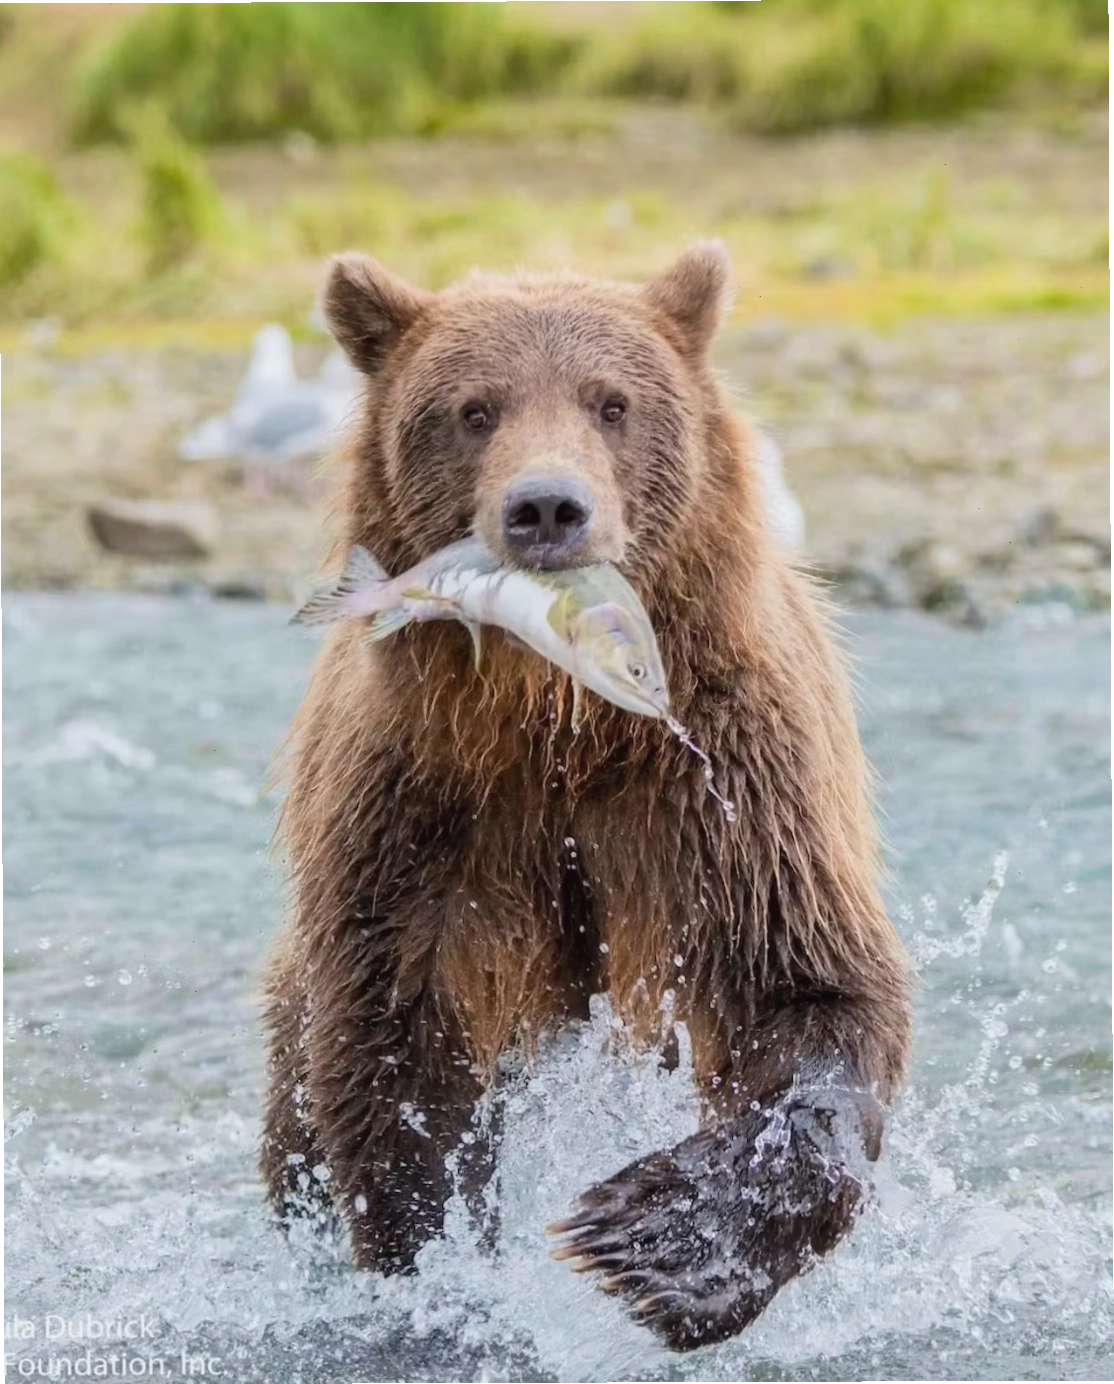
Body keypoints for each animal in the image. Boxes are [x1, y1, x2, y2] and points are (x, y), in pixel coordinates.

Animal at [260, 242, 912, 1352]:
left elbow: (806, 989)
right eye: (474, 409)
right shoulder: (422, 809)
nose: (546, 509)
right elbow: (397, 1051)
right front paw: (439, 1266)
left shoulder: (723, 780)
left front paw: (655, 1243)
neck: (557, 715)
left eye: (611, 402)